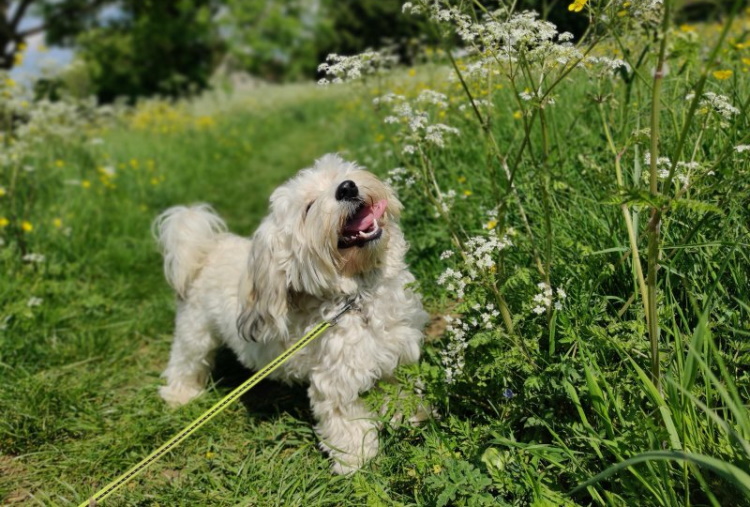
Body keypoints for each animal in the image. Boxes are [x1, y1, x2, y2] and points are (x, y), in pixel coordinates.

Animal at [153, 154, 428, 472]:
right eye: (309, 207)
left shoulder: (397, 355)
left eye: (339, 174)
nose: (347, 188)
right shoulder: (334, 383)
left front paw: (411, 418)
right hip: (194, 332)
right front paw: (356, 461)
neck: (357, 298)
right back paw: (180, 396)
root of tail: (207, 249)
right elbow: (348, 424)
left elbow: (402, 393)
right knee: (184, 362)